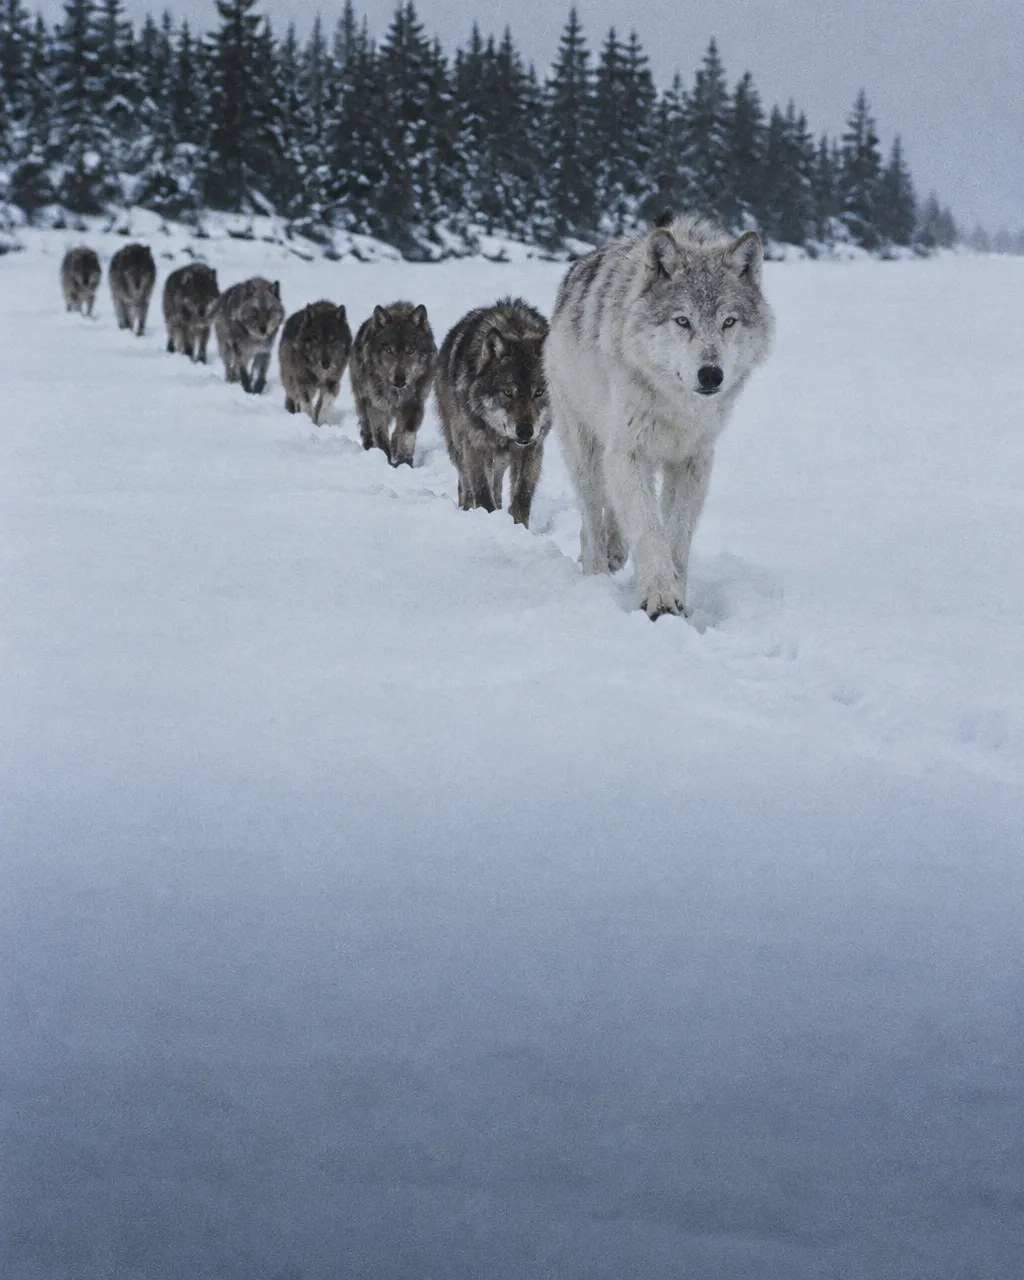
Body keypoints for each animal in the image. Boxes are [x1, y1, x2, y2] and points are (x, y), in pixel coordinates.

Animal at [348, 302, 436, 466]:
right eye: (389, 351)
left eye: (411, 350)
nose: (400, 379)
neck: (397, 394)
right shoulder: (377, 407)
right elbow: (381, 436)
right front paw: (385, 460)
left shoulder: (414, 405)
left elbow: (406, 435)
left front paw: (404, 463)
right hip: (362, 400)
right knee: (366, 426)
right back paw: (369, 446)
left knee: (397, 432)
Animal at [435, 298, 550, 527]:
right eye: (508, 392)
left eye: (539, 392)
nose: (525, 431)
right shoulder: (475, 447)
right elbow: (481, 493)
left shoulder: (533, 449)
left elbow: (522, 497)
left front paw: (519, 528)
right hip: (458, 446)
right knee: (465, 485)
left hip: (501, 459)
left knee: (496, 484)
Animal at [546, 216, 775, 618]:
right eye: (682, 321)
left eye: (729, 322)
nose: (711, 374)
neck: (678, 406)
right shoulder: (628, 452)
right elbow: (649, 530)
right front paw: (660, 600)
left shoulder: (692, 460)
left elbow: (676, 535)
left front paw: (677, 595)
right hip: (585, 447)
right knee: (590, 516)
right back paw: (596, 572)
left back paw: (616, 551)